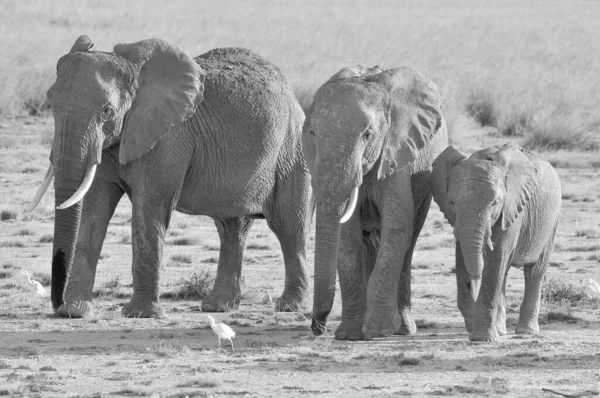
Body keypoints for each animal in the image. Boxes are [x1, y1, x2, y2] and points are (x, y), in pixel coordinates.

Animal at [25, 35, 312, 318]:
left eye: (107, 111)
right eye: (50, 104)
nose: (57, 304)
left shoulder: (168, 138)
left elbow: (149, 210)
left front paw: (140, 314)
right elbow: (94, 212)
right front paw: (75, 311)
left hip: (292, 150)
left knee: (288, 226)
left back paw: (290, 306)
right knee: (231, 228)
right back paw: (217, 306)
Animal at [302, 65, 448, 338]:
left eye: (367, 135)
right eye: (313, 134)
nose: (318, 327)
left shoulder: (398, 153)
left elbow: (397, 225)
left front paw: (378, 331)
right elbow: (347, 235)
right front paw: (349, 335)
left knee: (409, 241)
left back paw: (403, 329)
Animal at [432, 143, 564, 342]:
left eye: (495, 203)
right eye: (452, 202)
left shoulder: (512, 208)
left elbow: (496, 258)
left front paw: (482, 339)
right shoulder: (457, 219)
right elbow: (463, 256)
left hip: (552, 218)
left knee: (534, 270)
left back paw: (527, 331)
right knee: (505, 274)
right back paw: (501, 330)